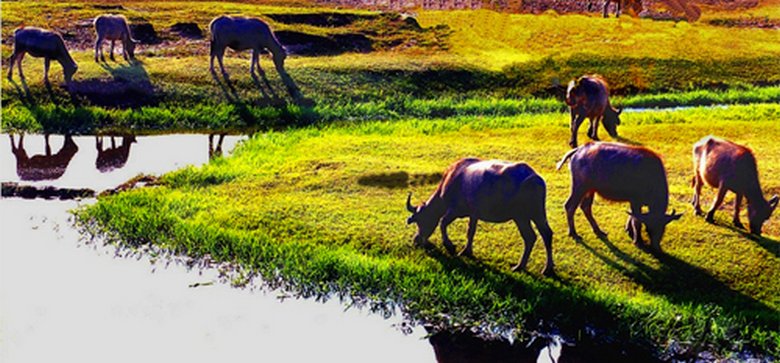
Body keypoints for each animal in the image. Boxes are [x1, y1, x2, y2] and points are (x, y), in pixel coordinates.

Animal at [408, 157, 556, 276]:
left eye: (420, 221)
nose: (416, 239)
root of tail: (534, 178)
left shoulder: (454, 210)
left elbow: (442, 222)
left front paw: (450, 246)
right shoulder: (474, 214)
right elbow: (470, 232)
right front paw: (467, 251)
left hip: (521, 217)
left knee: (530, 237)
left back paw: (520, 266)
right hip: (537, 214)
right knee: (545, 234)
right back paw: (546, 269)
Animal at [556, 143, 684, 253]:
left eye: (663, 229)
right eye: (648, 229)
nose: (656, 247)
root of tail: (578, 150)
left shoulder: (634, 202)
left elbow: (632, 216)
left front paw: (628, 230)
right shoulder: (635, 200)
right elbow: (636, 220)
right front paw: (638, 241)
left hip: (590, 189)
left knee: (585, 207)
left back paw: (598, 230)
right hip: (579, 186)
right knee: (570, 206)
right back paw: (573, 233)